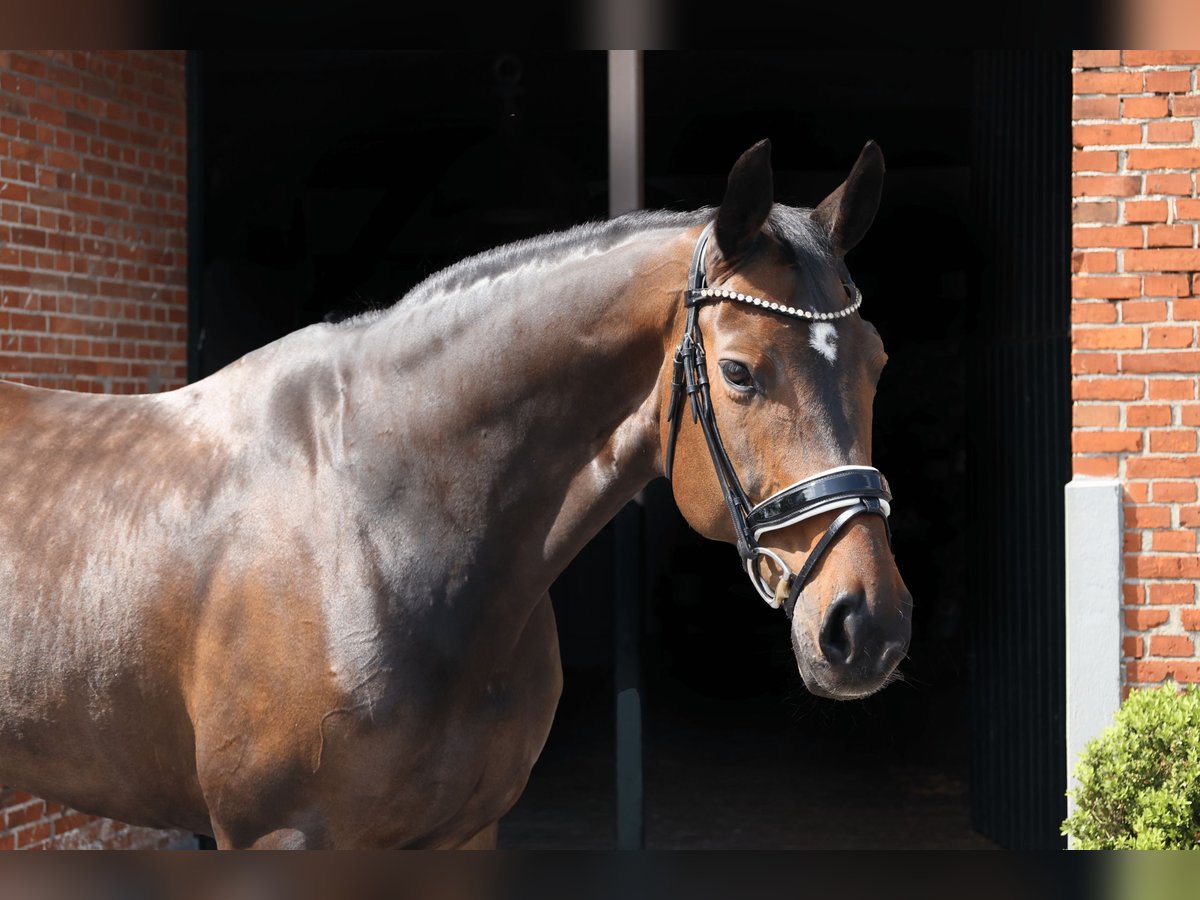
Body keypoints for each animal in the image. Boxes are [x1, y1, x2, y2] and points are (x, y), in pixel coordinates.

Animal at [0, 137, 907, 849]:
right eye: (740, 372)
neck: (381, 528)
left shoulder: (466, 832)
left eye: (877, 362)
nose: (868, 625)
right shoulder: (278, 837)